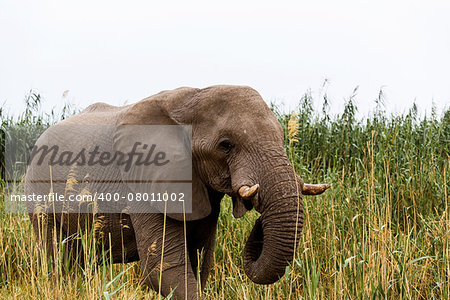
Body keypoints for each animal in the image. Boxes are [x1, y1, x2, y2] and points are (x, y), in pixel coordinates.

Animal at [24, 85, 328, 298]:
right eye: (226, 145)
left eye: (282, 136)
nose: (257, 201)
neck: (193, 97)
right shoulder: (145, 180)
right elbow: (166, 268)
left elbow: (199, 262)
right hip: (38, 197)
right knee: (57, 260)